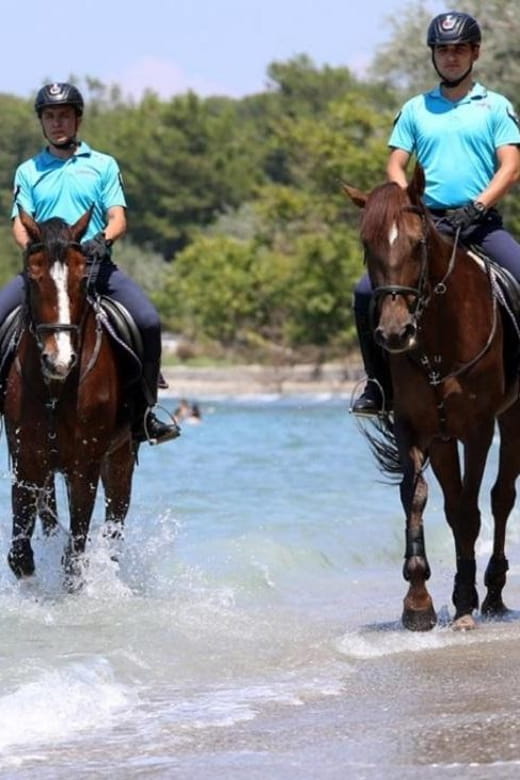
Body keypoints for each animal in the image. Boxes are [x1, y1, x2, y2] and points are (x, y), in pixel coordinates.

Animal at [3, 209, 136, 586]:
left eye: (81, 279)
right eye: (34, 277)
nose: (59, 359)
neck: (56, 389)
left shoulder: (85, 466)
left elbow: (74, 557)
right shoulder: (26, 462)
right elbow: (21, 556)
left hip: (120, 458)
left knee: (115, 522)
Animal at [344, 164, 520, 631]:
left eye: (418, 243)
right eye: (367, 245)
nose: (394, 333)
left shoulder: (477, 430)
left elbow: (470, 510)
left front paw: (464, 603)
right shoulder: (420, 429)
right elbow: (420, 498)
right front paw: (418, 602)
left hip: (514, 417)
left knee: (502, 496)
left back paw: (493, 593)